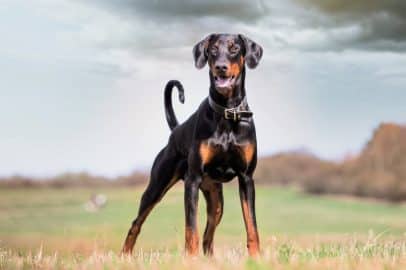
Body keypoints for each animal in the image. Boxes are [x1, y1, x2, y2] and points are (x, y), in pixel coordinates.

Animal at [121, 32, 264, 256]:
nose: (220, 67)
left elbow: (252, 226)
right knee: (136, 223)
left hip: (216, 200)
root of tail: (175, 131)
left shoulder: (246, 178)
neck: (226, 112)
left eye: (234, 48)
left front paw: (256, 257)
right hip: (157, 186)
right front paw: (190, 257)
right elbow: (191, 228)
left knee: (208, 234)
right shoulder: (193, 180)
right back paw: (125, 255)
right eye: (213, 49)